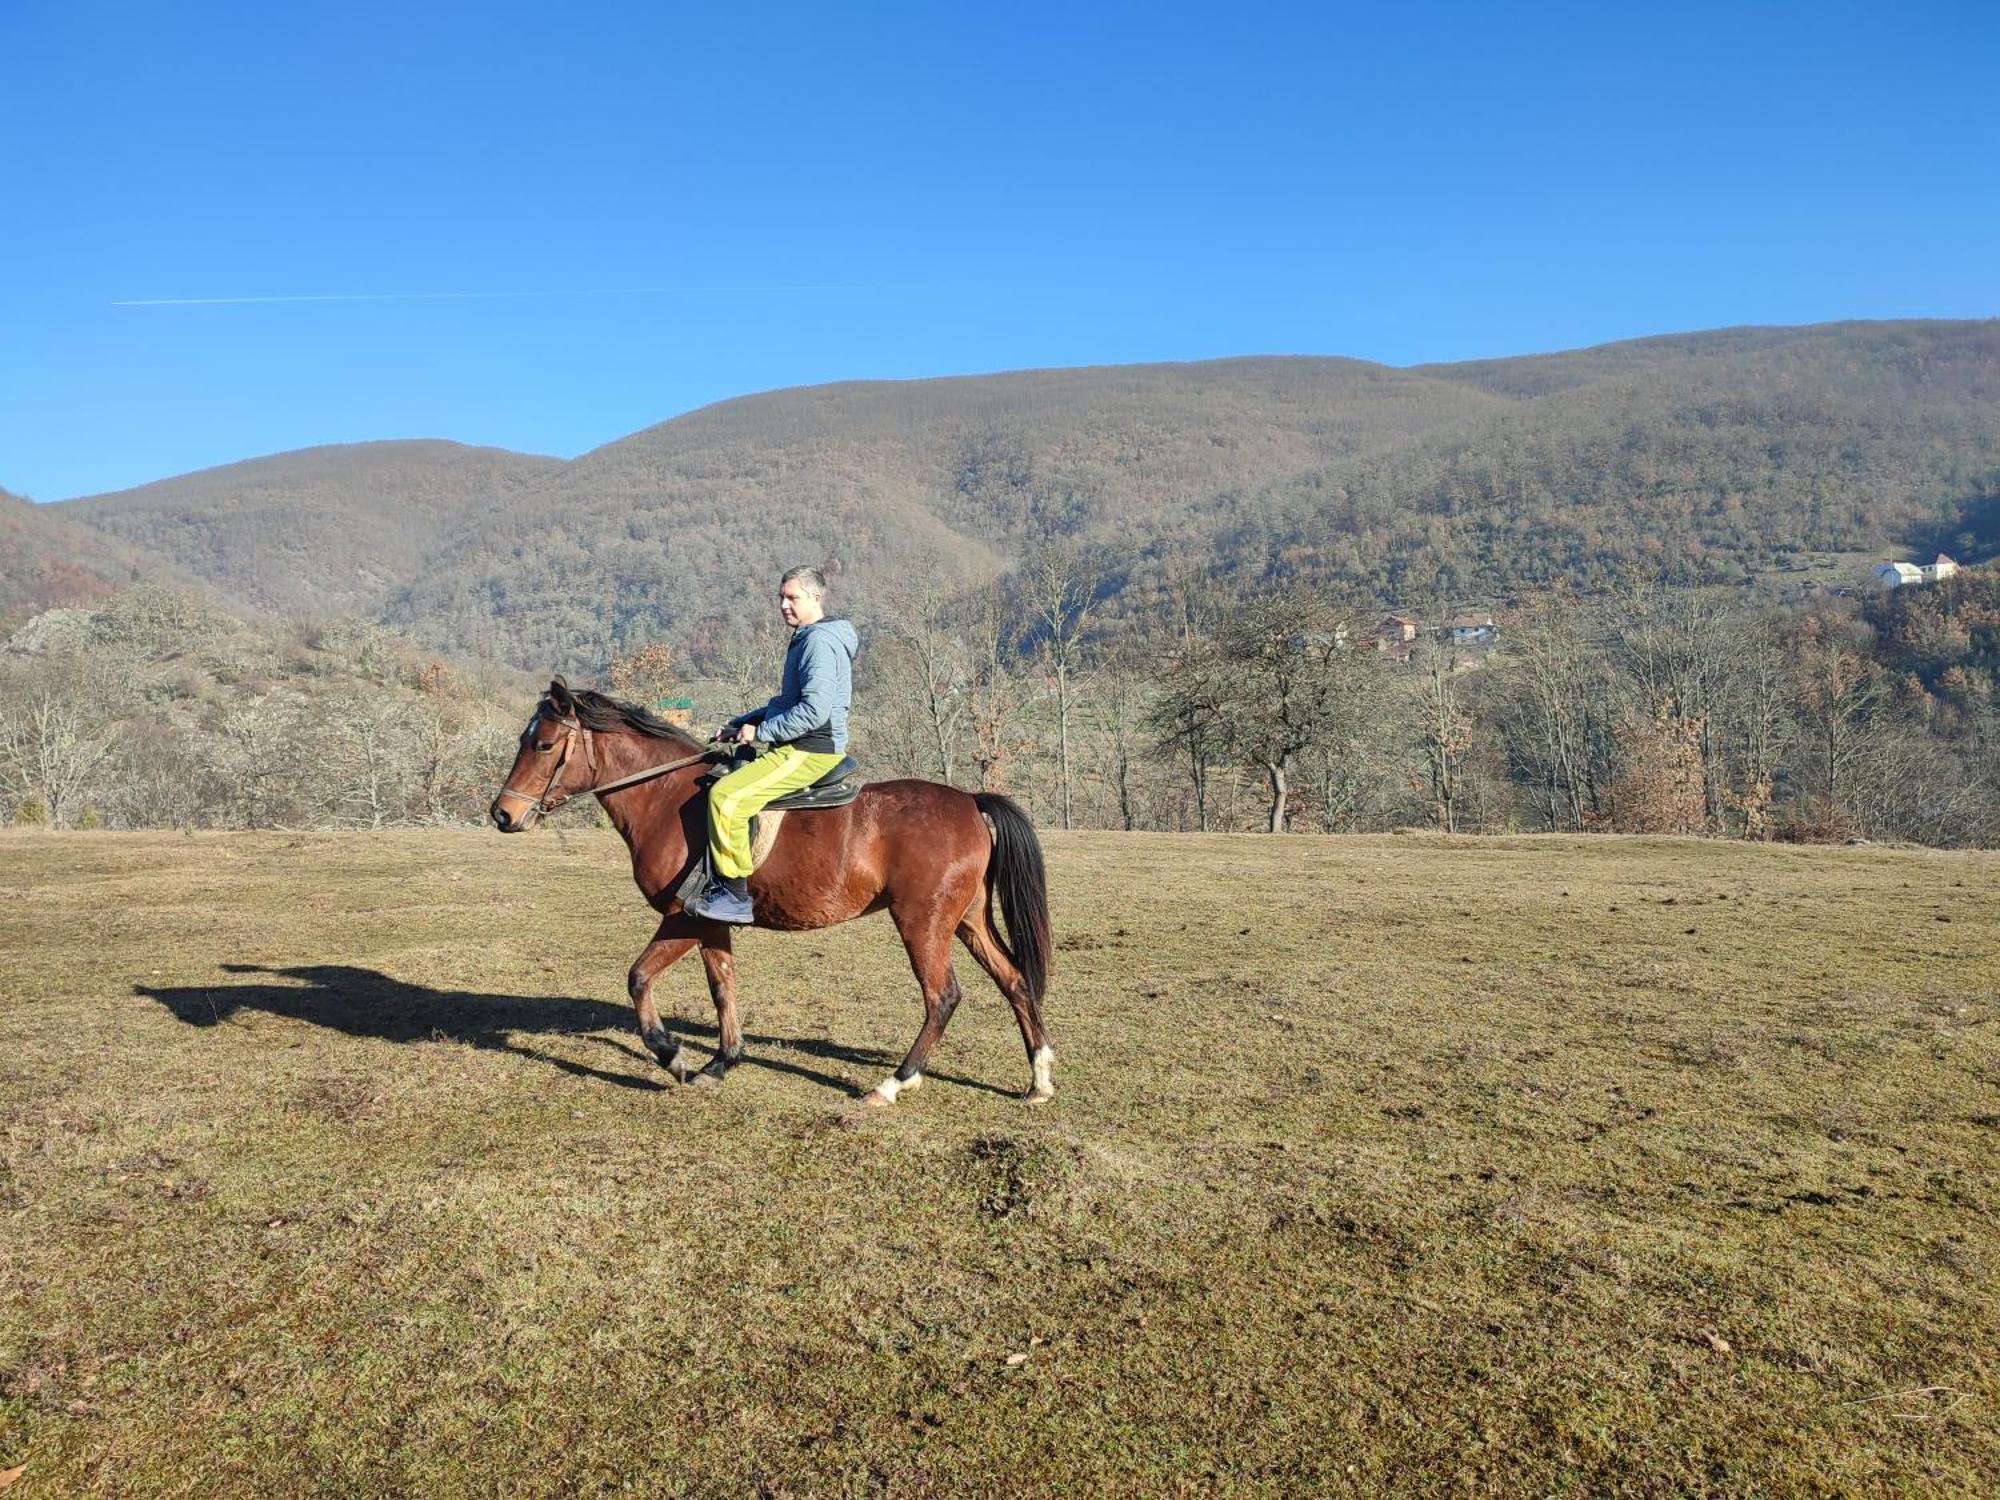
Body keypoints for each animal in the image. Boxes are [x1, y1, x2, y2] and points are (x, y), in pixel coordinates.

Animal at [490, 680, 1056, 1104]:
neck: (665, 800)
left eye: (543, 745)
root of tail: (969, 801)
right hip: (968, 919)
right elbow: (723, 987)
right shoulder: (711, 922)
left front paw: (672, 1056)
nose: (503, 815)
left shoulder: (682, 917)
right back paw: (1040, 1078)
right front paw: (722, 1061)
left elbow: (638, 978)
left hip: (924, 922)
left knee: (943, 996)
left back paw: (894, 1083)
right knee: (1014, 981)